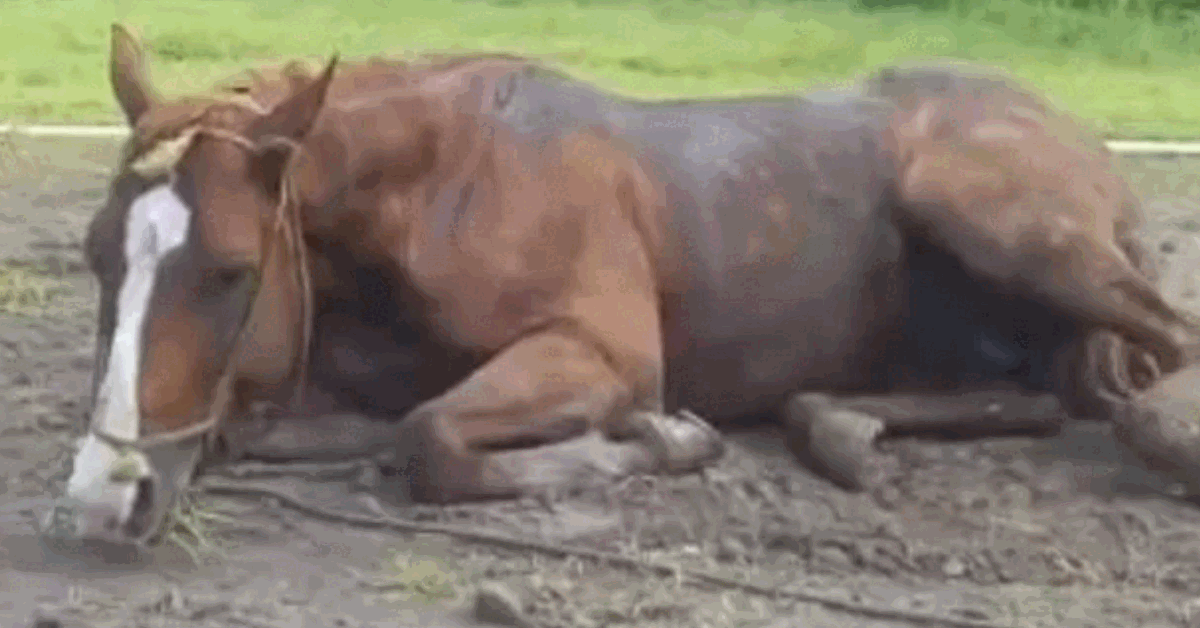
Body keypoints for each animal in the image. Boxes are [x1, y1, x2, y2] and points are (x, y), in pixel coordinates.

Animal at [48, 23, 1195, 551]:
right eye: (101, 255)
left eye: (232, 271)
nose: (102, 501)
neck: (447, 183)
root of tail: (1072, 132)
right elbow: (305, 426)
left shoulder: (602, 354)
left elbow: (432, 437)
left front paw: (661, 442)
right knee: (1035, 395)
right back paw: (845, 431)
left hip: (992, 216)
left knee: (1160, 358)